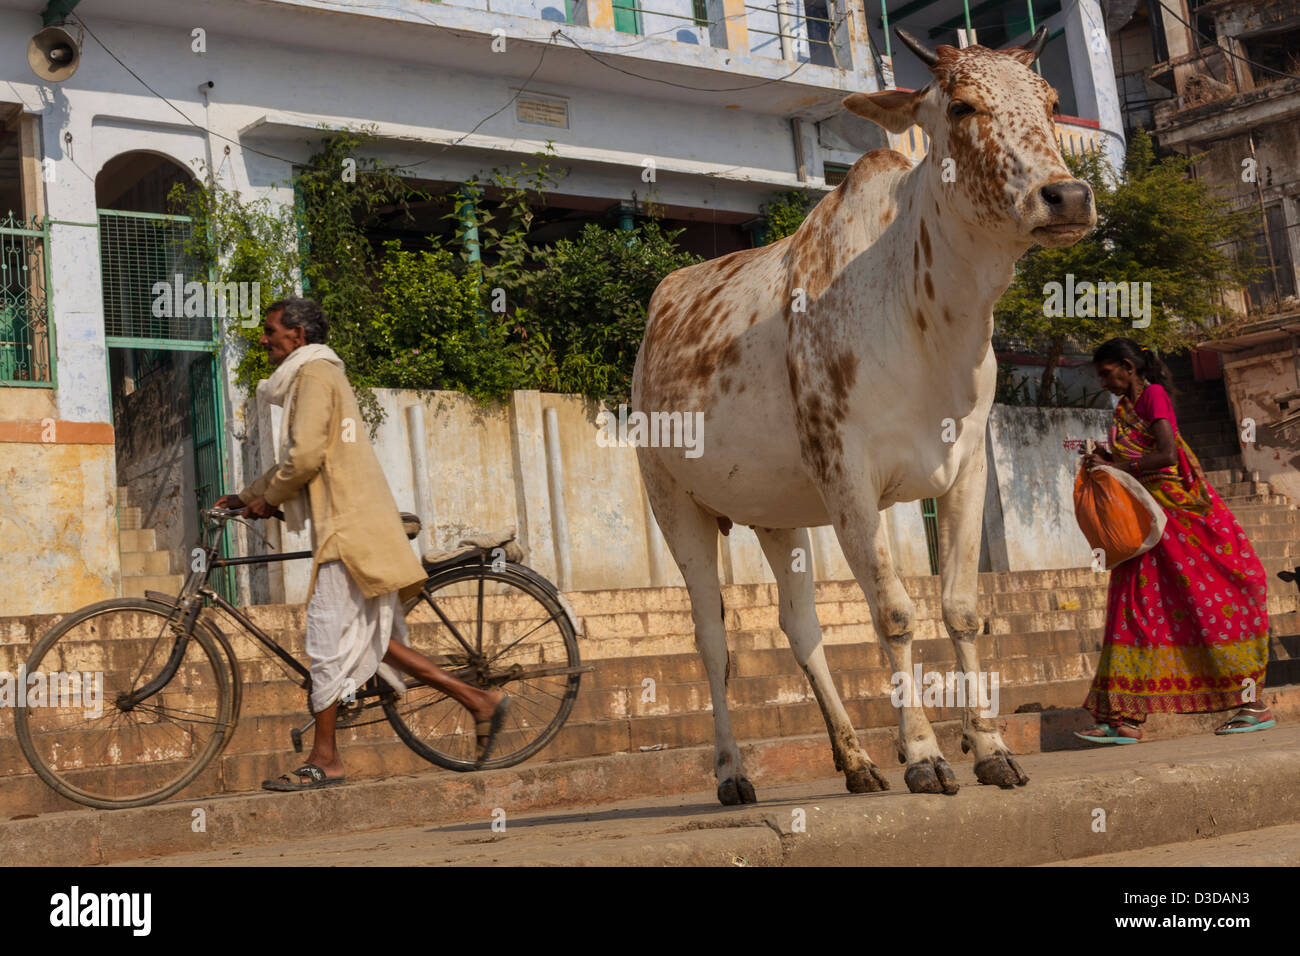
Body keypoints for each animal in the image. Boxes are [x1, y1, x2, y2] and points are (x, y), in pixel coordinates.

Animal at [629, 26, 1097, 806]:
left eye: (1052, 102)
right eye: (962, 106)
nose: (1065, 195)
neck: (928, 315)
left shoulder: (966, 469)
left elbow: (961, 607)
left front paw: (990, 748)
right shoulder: (848, 478)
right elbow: (895, 612)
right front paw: (926, 756)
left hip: (776, 515)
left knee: (801, 626)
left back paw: (853, 760)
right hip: (675, 504)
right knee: (712, 637)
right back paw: (733, 773)